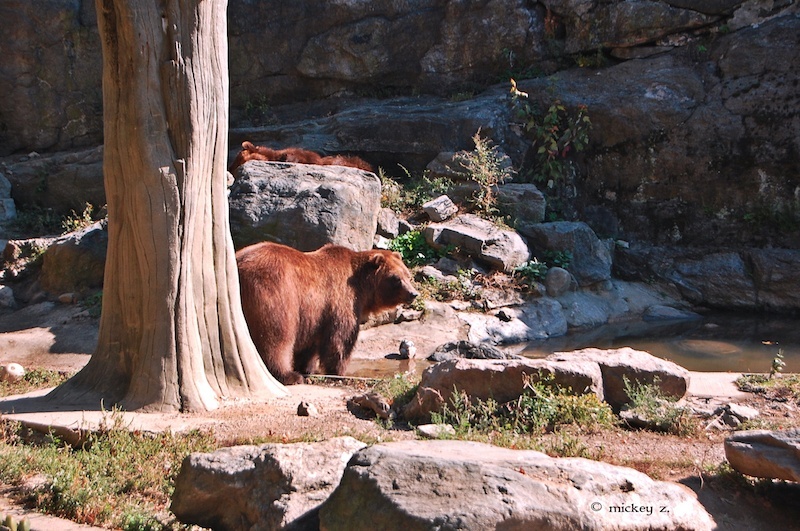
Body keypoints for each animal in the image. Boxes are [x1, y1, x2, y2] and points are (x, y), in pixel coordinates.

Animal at [236, 241, 418, 384]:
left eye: (408, 275)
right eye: (396, 278)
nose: (413, 293)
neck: (362, 287)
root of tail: (239, 265)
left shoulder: (314, 315)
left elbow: (309, 345)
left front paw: (306, 368)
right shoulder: (341, 300)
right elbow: (341, 339)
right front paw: (338, 372)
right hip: (276, 292)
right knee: (277, 336)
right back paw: (288, 375)